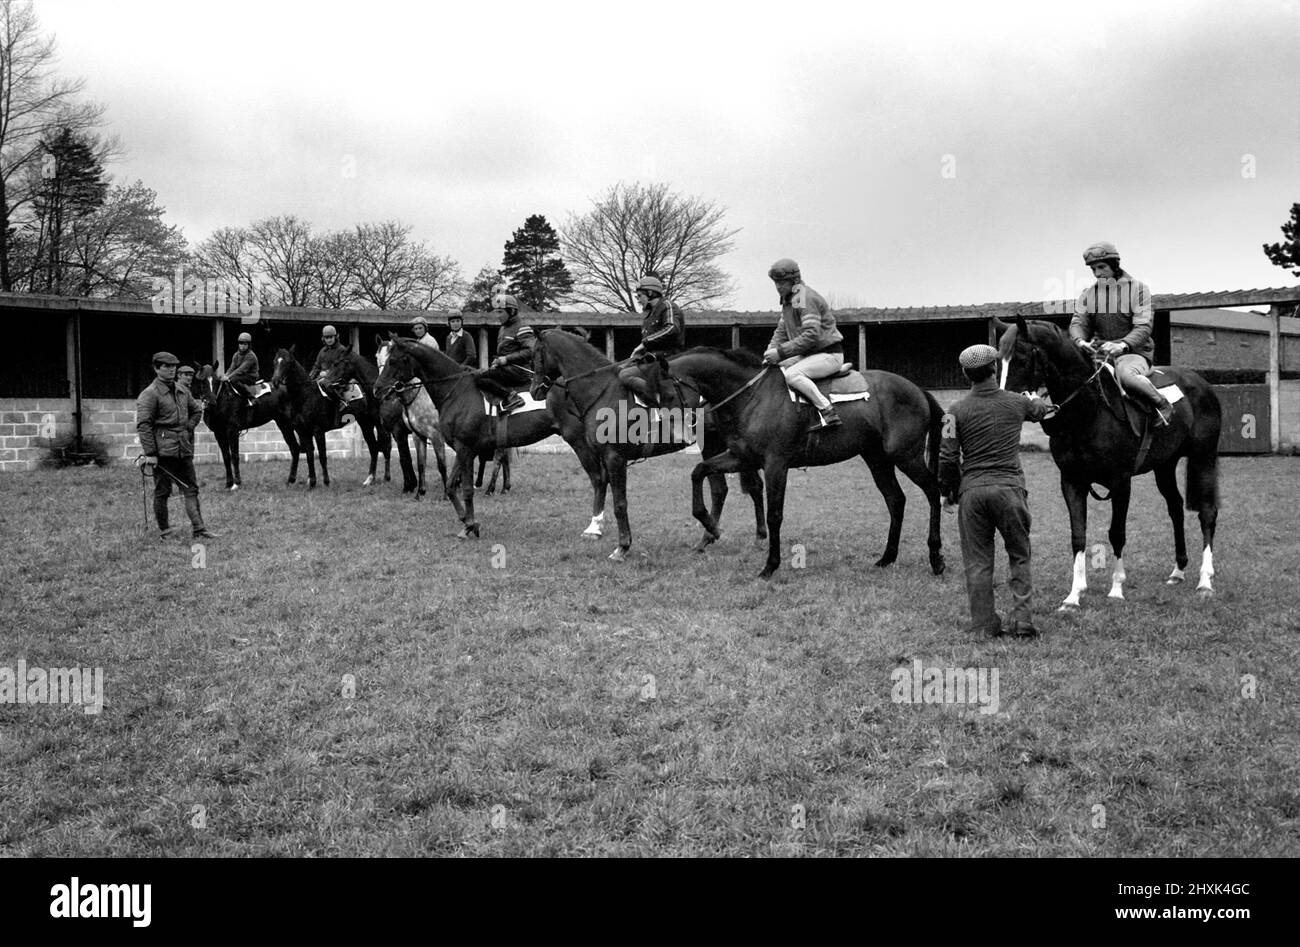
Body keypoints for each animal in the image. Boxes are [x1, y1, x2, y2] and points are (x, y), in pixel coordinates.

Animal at [530, 327, 764, 561]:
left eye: (536, 355)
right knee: (721, 489)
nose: (534, 390)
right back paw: (708, 539)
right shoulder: (604, 458)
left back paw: (756, 538)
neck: (600, 391)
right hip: (715, 446)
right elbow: (606, 490)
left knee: (749, 486)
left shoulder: (614, 457)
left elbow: (619, 504)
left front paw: (622, 547)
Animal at [644, 348, 951, 577]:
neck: (752, 397)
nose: (670, 430)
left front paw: (770, 566)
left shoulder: (775, 464)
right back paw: (887, 557)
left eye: (668, 394)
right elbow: (699, 472)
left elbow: (774, 514)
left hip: (906, 456)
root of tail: (917, 390)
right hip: (878, 459)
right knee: (896, 500)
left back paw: (936, 558)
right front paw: (709, 525)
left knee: (933, 492)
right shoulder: (741, 457)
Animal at [998, 314, 1222, 603]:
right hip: (1164, 466)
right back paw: (1178, 570)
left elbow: (1117, 534)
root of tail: (1202, 384)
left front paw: (1116, 588)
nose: (1003, 402)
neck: (1089, 411)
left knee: (1207, 512)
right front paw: (1074, 595)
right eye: (998, 360)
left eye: (1021, 358)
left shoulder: (1120, 482)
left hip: (1203, 458)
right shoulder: (1072, 482)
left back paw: (1205, 580)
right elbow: (1078, 535)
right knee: (1175, 508)